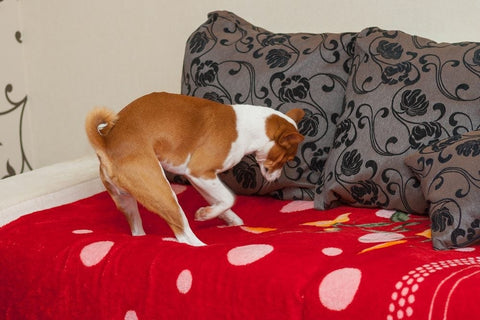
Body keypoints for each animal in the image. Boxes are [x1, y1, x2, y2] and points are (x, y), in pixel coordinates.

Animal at [85, 91, 304, 246]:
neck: (249, 127)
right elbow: (229, 198)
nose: (276, 178)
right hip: (163, 193)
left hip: (127, 201)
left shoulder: (199, 179)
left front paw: (230, 220)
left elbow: (222, 202)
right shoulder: (200, 172)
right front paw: (205, 215)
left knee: (138, 232)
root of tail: (107, 143)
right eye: (287, 159)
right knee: (184, 236)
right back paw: (203, 247)